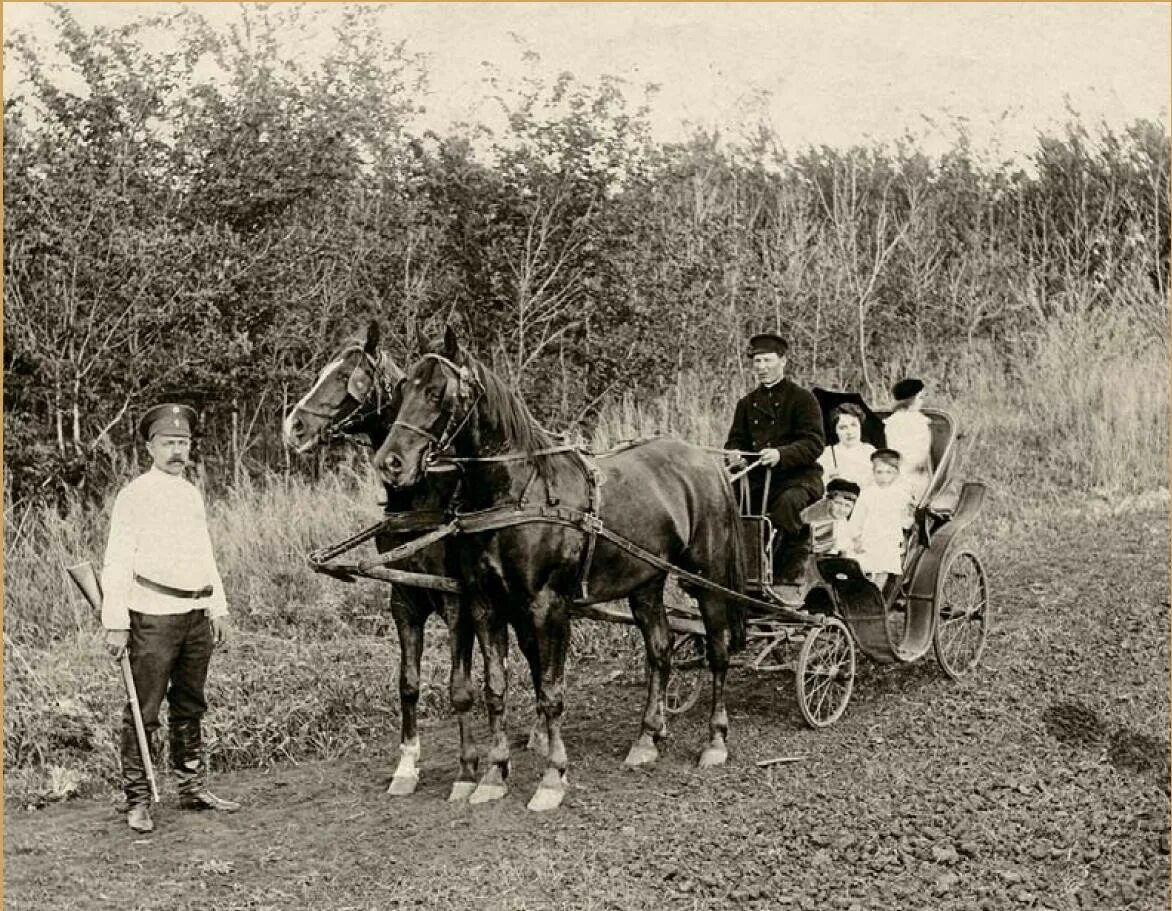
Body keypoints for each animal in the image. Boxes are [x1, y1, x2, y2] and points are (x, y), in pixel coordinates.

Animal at [281, 323, 487, 801]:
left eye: (345, 377)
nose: (293, 427)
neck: (423, 496)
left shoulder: (457, 603)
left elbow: (460, 687)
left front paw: (467, 769)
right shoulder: (404, 600)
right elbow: (407, 684)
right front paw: (406, 766)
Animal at [370, 325, 745, 811]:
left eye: (437, 393)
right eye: (400, 392)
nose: (390, 463)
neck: (517, 493)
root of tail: (705, 461)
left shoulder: (547, 607)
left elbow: (551, 692)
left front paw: (552, 777)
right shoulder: (485, 605)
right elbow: (495, 689)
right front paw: (492, 774)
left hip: (710, 578)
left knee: (717, 652)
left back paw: (715, 740)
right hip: (646, 581)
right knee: (659, 650)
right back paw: (646, 737)